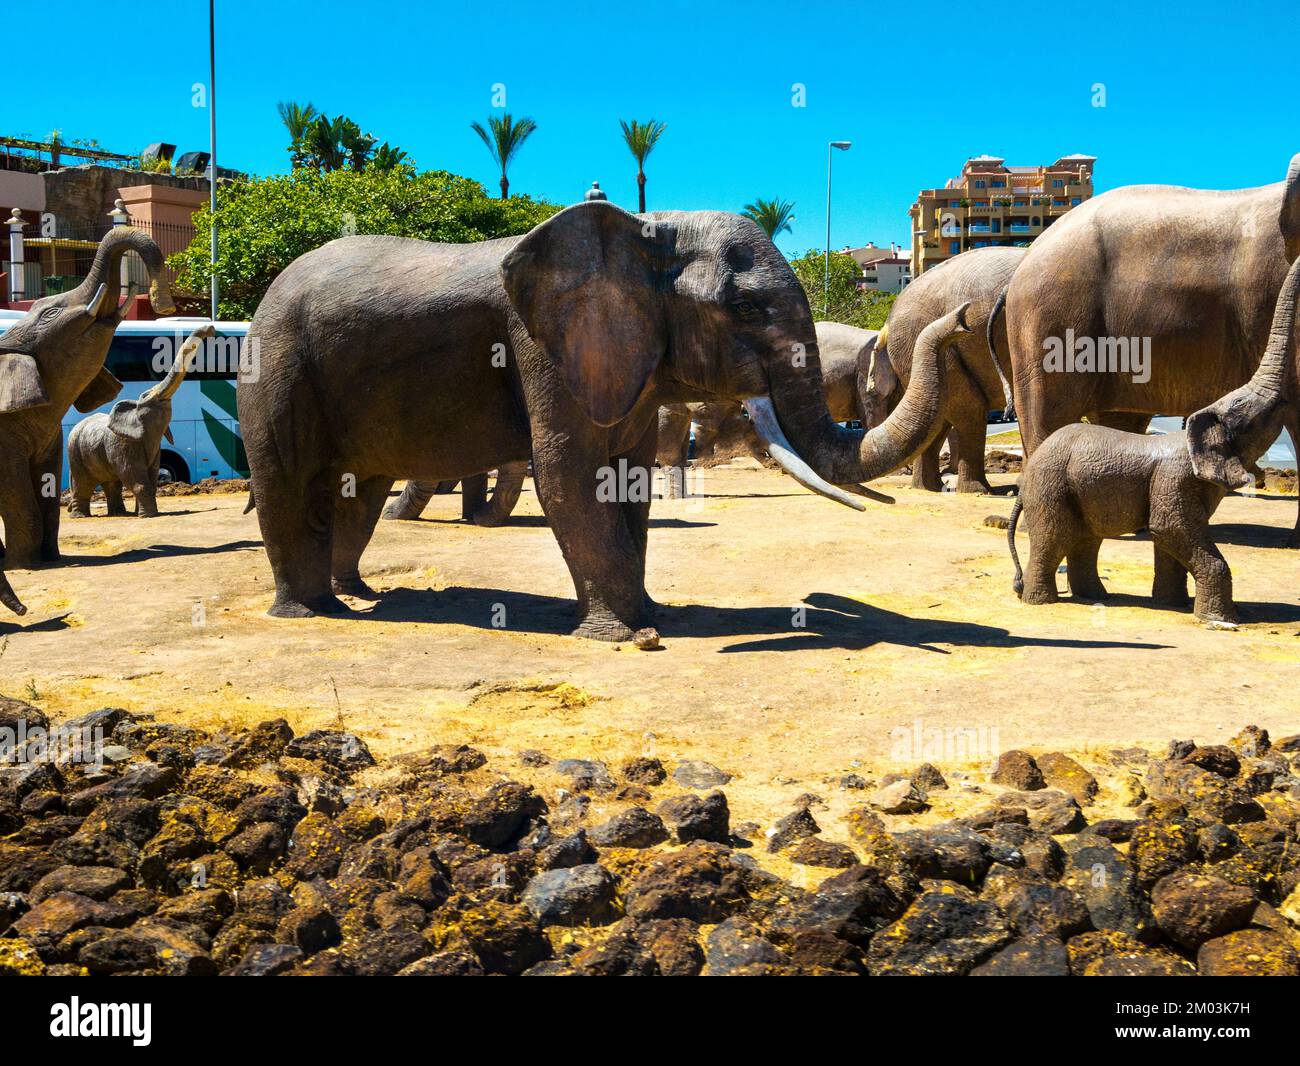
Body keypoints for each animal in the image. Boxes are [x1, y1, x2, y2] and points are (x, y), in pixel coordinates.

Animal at [0, 228, 175, 569]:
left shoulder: (51, 437)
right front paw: (26, 565)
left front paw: (48, 559)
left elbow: (47, 487)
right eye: (51, 314)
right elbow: (16, 490)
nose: (166, 305)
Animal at [67, 325, 213, 518]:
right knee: (83, 483)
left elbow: (151, 477)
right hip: (75, 452)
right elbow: (134, 476)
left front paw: (145, 513)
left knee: (111, 482)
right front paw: (148, 516)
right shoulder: (122, 443)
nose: (210, 329)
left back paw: (119, 514)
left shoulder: (154, 447)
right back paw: (81, 516)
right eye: (145, 396)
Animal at [1009, 254, 1300, 623]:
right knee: (1055, 536)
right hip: (1052, 489)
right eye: (1251, 415)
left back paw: (1094, 596)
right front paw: (1219, 619)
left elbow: (1169, 538)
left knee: (1086, 539)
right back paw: (1041, 601)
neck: (1193, 434)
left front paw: (1174, 604)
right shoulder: (1175, 479)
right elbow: (1170, 529)